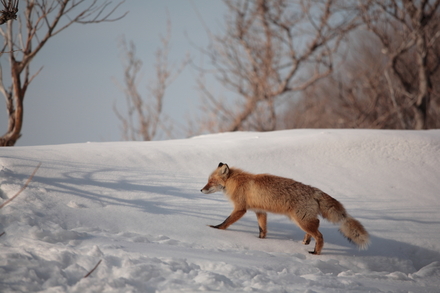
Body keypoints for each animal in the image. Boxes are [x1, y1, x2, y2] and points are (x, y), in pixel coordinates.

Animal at [201, 162, 370, 253]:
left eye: (210, 181)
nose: (201, 190)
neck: (236, 182)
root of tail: (315, 190)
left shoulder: (240, 208)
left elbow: (226, 222)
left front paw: (216, 228)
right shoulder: (260, 211)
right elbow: (262, 229)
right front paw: (260, 241)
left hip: (301, 220)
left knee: (320, 234)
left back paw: (315, 252)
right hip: (304, 220)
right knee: (316, 226)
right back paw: (306, 241)